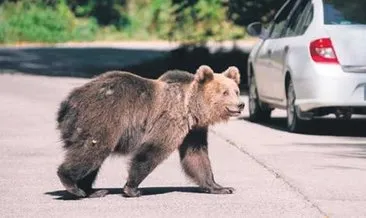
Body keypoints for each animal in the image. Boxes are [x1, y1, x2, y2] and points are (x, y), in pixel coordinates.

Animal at [55, 64, 244, 198]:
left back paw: (92, 191)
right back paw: (73, 185)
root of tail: (68, 102)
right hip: (103, 116)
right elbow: (153, 150)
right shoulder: (171, 118)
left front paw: (221, 187)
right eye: (225, 92)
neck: (191, 108)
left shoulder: (193, 130)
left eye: (236, 91)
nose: (241, 104)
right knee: (93, 150)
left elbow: (196, 156)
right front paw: (132, 188)